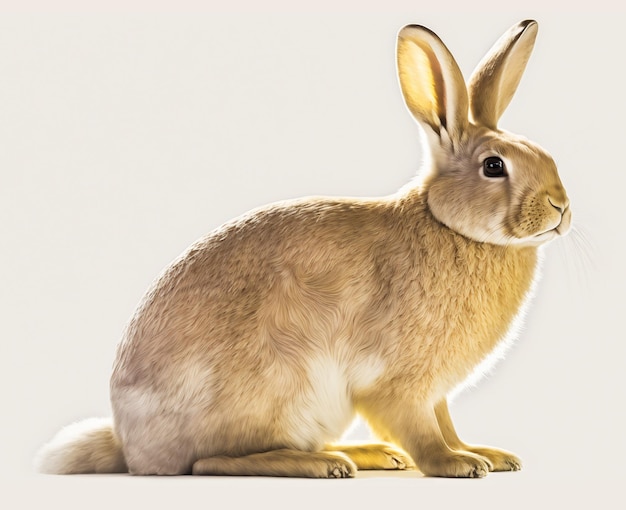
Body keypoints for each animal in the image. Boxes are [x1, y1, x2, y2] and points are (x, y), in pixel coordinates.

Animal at [34, 18, 572, 478]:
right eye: (494, 166)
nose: (561, 207)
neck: (449, 226)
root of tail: (133, 448)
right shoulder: (396, 384)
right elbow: (421, 430)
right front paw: (456, 464)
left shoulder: (434, 392)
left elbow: (446, 422)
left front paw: (485, 454)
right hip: (278, 388)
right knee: (210, 462)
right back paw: (325, 464)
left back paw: (369, 454)